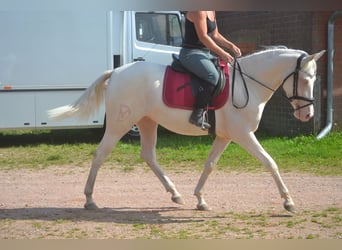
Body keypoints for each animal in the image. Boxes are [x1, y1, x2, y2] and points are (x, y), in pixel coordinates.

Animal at [48, 47, 324, 212]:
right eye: (305, 79)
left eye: (314, 79)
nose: (307, 115)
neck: (247, 84)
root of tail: (116, 72)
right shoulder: (244, 135)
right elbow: (270, 162)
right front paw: (288, 201)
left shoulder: (225, 136)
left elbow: (210, 165)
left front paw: (200, 199)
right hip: (120, 124)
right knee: (100, 154)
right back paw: (90, 199)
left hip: (147, 122)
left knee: (148, 155)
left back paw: (175, 194)